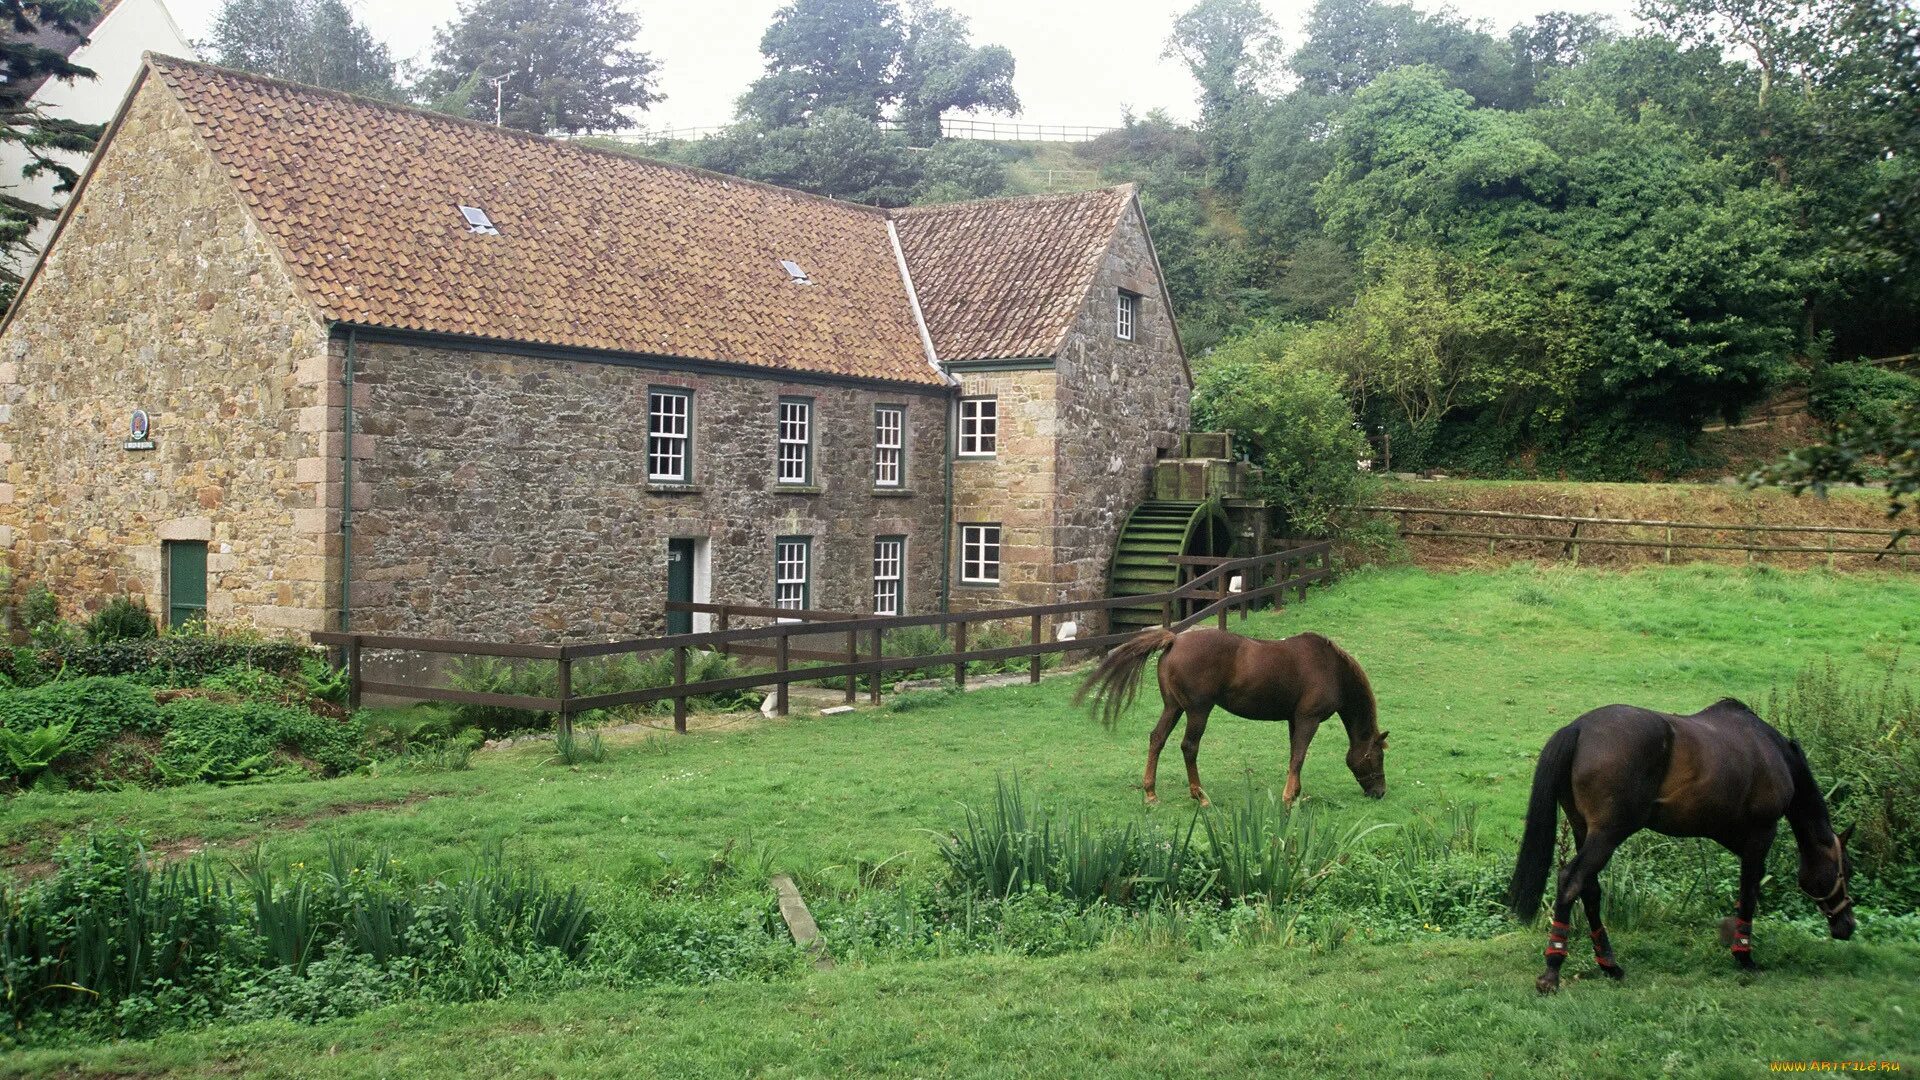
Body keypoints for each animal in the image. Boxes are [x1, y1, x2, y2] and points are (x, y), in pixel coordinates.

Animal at [1075, 626, 1390, 803]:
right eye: (1378, 756)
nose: (1380, 792)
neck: (1332, 668)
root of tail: (1174, 640)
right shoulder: (1308, 720)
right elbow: (1298, 757)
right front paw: (1289, 798)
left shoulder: (1294, 720)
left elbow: (1294, 756)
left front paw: (1295, 793)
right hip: (1198, 711)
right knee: (1189, 747)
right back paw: (1199, 795)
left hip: (1174, 708)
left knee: (1157, 739)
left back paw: (1151, 793)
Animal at [1505, 699, 1850, 991]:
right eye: (1844, 870)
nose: (1847, 926)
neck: (1772, 751)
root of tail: (1578, 729)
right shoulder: (1760, 836)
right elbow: (1749, 893)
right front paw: (1744, 956)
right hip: (1606, 834)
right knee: (1570, 881)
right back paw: (1552, 970)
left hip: (1584, 830)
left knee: (1589, 889)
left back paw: (1609, 965)